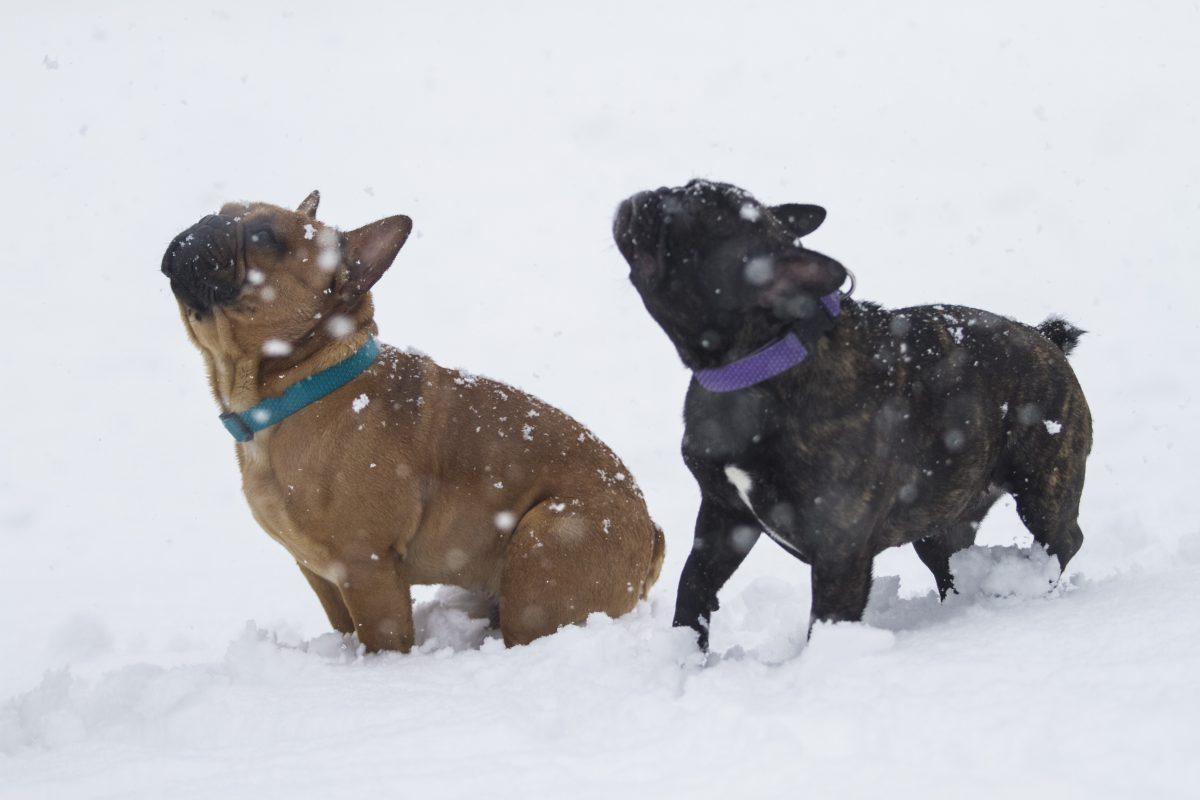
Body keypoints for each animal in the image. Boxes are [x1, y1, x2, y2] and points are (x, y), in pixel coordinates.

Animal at [159, 191, 667, 652]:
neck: (298, 385)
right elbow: (345, 627)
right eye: (222, 211)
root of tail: (651, 530)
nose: (205, 224)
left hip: (545, 548)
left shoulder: (366, 568)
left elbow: (381, 641)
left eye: (265, 237)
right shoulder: (320, 573)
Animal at [614, 178, 1094, 647]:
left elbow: (826, 617)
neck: (760, 364)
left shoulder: (838, 551)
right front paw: (683, 651)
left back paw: (1031, 583)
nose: (646, 196)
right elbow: (693, 583)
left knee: (1063, 538)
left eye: (688, 217)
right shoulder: (724, 515)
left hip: (1041, 483)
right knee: (951, 561)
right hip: (940, 519)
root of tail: (1045, 338)